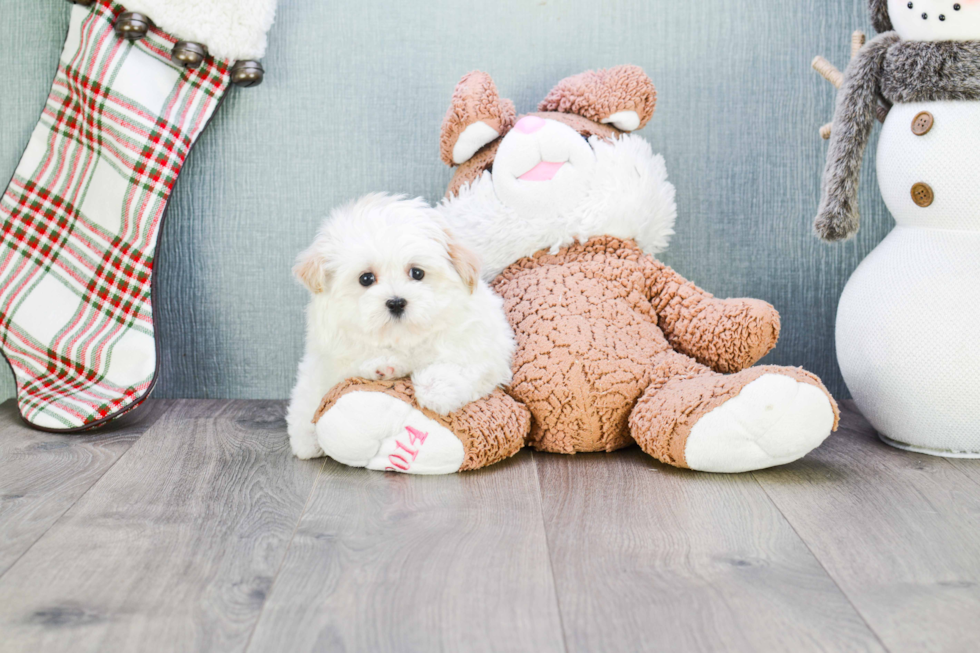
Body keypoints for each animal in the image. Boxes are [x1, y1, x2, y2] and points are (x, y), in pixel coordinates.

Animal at [286, 192, 516, 458]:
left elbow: (463, 365)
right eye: (366, 278)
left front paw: (435, 389)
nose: (396, 302)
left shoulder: (483, 345)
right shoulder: (327, 353)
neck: (402, 337)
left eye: (417, 273)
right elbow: (321, 383)